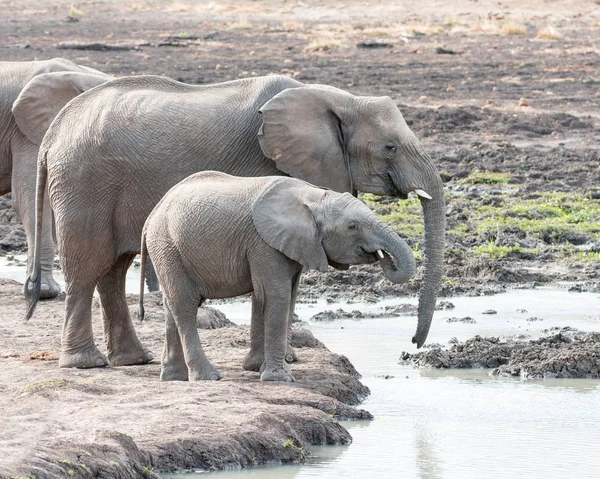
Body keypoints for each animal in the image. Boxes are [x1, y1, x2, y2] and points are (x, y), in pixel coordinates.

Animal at [138, 172, 414, 382]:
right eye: (352, 226)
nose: (382, 255)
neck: (312, 197)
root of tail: (151, 216)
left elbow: (281, 295)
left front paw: (256, 368)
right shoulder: (264, 242)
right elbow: (276, 295)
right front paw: (279, 378)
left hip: (170, 251)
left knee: (172, 306)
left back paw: (173, 377)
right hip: (167, 246)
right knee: (185, 305)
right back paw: (208, 377)